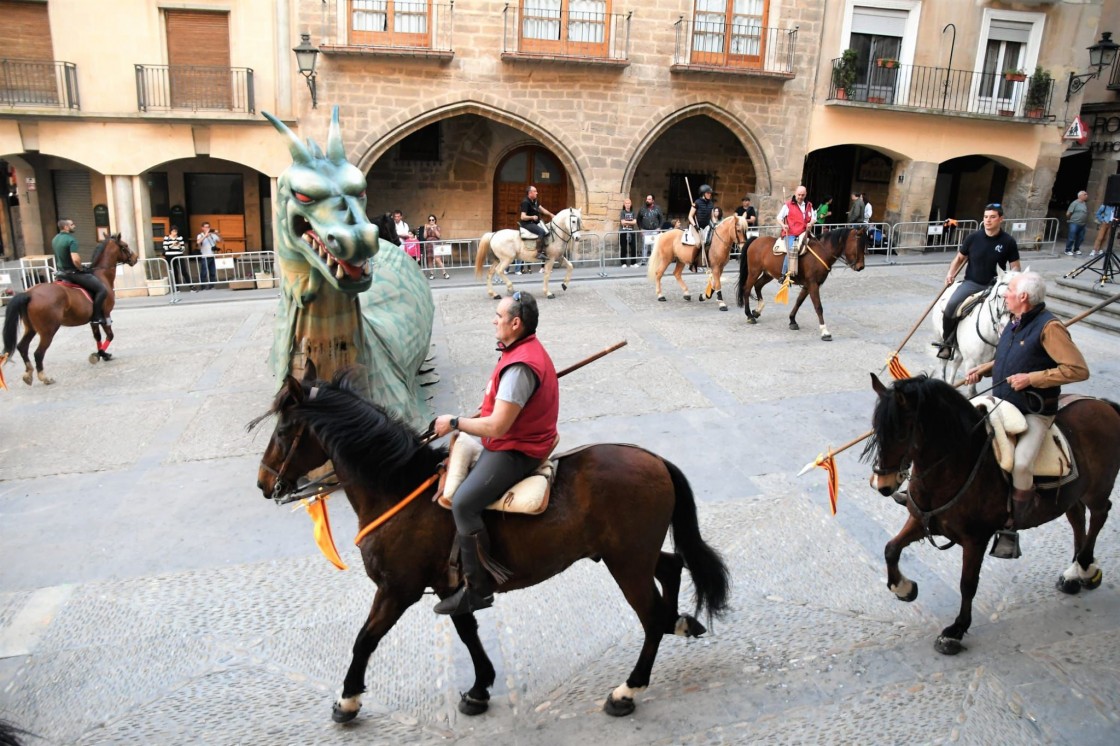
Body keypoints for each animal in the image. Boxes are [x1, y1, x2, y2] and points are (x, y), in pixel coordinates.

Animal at [0, 232, 136, 383]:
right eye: (125, 246)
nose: (135, 258)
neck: (101, 275)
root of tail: (29, 293)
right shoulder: (105, 314)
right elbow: (110, 335)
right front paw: (98, 354)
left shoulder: (93, 319)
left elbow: (98, 336)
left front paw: (103, 354)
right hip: (48, 330)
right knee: (38, 353)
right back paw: (44, 377)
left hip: (31, 327)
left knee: (22, 347)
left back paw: (28, 374)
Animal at [254, 371, 730, 721]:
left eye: (284, 429)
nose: (262, 483)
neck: (397, 488)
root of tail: (654, 459)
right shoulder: (449, 586)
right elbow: (467, 631)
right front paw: (480, 686)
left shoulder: (397, 589)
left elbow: (365, 640)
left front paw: (348, 699)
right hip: (631, 553)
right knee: (671, 567)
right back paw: (679, 622)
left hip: (626, 563)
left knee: (650, 617)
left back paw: (627, 689)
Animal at [739, 226, 869, 340]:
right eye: (858, 245)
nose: (861, 267)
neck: (821, 253)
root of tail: (756, 240)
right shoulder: (813, 284)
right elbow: (818, 307)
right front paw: (824, 331)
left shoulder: (808, 285)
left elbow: (799, 301)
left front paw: (792, 320)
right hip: (754, 272)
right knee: (747, 289)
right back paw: (749, 315)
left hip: (768, 274)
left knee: (757, 285)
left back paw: (757, 311)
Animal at [864, 374, 1120, 654]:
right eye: (876, 430)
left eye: (900, 433)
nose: (882, 485)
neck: (956, 466)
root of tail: (1102, 404)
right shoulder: (921, 521)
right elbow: (891, 549)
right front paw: (904, 588)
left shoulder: (975, 539)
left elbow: (967, 583)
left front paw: (956, 630)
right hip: (1071, 493)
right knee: (1077, 518)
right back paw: (1074, 573)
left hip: (1096, 489)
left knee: (1100, 514)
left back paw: (1084, 565)